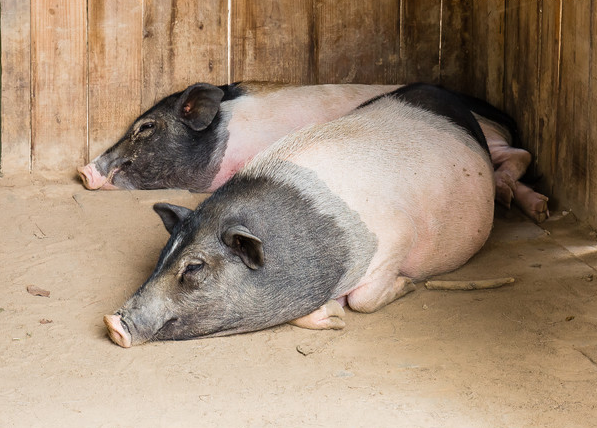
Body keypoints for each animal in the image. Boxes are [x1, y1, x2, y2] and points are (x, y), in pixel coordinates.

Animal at [105, 83, 496, 348]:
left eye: (194, 267)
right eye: (163, 254)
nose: (113, 323)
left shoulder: (398, 236)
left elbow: (364, 300)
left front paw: (406, 286)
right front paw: (334, 315)